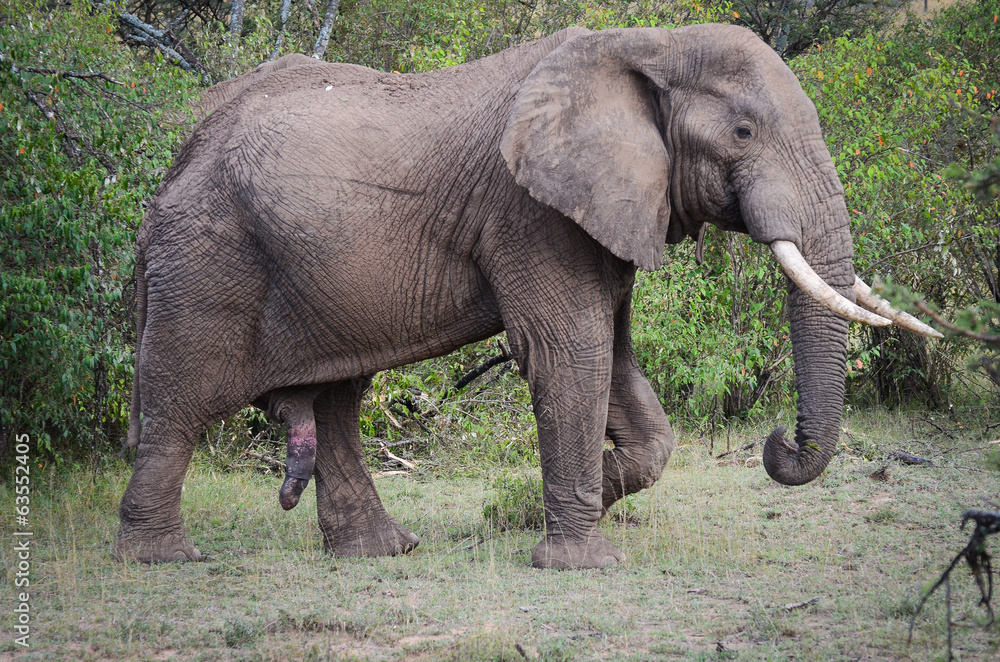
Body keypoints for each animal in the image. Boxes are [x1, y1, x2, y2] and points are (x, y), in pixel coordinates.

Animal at [116, 24, 939, 569]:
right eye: (742, 131)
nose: (779, 445)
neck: (649, 42)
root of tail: (177, 155)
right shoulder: (530, 212)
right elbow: (570, 352)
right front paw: (579, 561)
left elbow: (619, 367)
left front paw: (571, 503)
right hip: (206, 257)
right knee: (180, 396)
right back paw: (161, 558)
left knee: (337, 398)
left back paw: (382, 552)